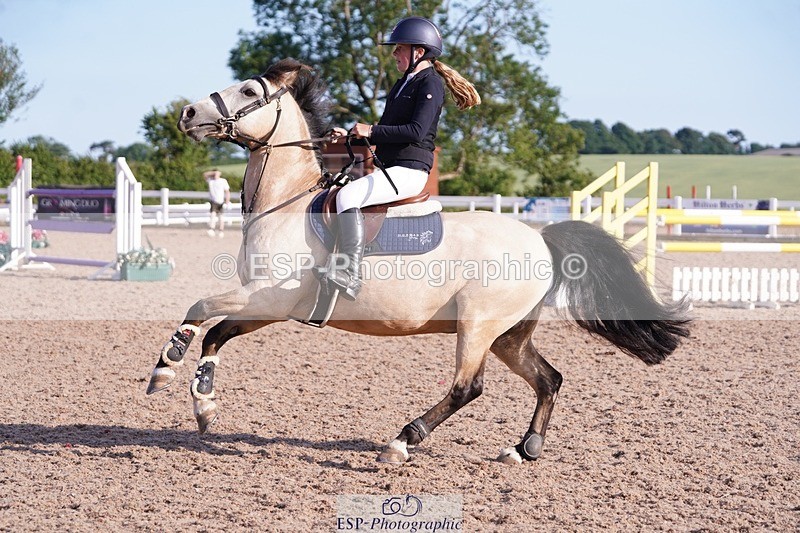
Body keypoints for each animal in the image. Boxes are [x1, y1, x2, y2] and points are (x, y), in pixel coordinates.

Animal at [147, 58, 691, 465]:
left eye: (247, 90)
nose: (187, 112)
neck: (286, 203)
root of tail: (540, 239)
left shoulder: (269, 297)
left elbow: (199, 308)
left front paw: (166, 366)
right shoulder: (271, 307)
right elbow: (217, 333)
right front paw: (203, 405)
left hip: (478, 326)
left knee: (468, 388)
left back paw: (401, 442)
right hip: (509, 334)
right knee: (548, 379)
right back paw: (523, 448)